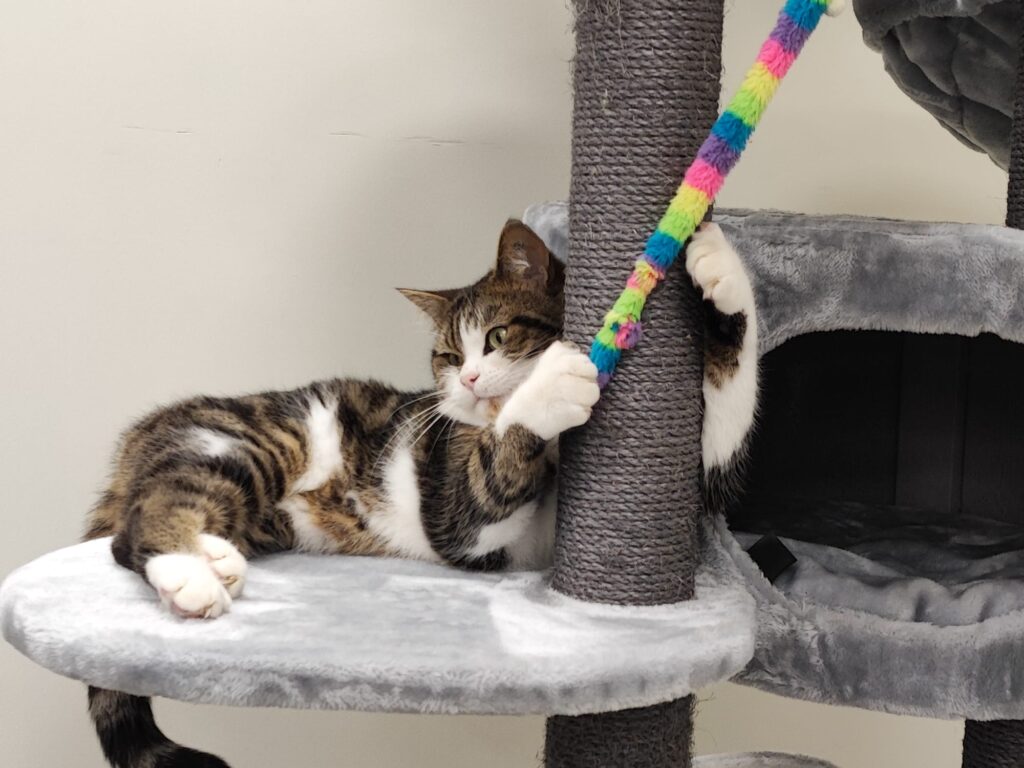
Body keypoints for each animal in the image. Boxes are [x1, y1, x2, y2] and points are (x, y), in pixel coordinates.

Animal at [83, 219, 757, 768]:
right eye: (448, 355)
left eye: (498, 336)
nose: (470, 379)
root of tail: (138, 437)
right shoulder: (454, 501)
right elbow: (484, 483)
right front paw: (548, 388)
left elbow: (719, 434)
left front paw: (721, 272)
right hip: (249, 443)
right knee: (143, 519)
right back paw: (187, 573)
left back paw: (215, 557)